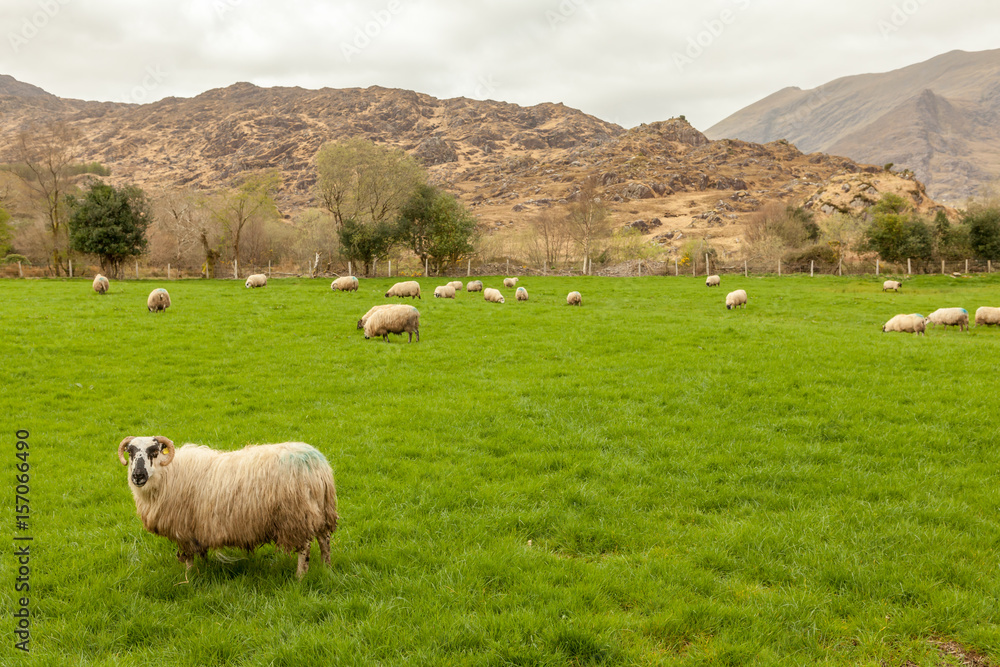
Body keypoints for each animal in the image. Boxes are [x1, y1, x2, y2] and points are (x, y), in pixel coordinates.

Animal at [117, 438, 340, 580]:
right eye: (130, 451)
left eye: (154, 451)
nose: (137, 476)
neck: (167, 472)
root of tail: (317, 463)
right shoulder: (199, 527)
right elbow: (200, 552)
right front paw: (204, 568)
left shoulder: (184, 528)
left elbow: (187, 556)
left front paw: (189, 576)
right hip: (321, 511)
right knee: (324, 540)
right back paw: (327, 569)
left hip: (296, 516)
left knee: (305, 547)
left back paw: (300, 576)